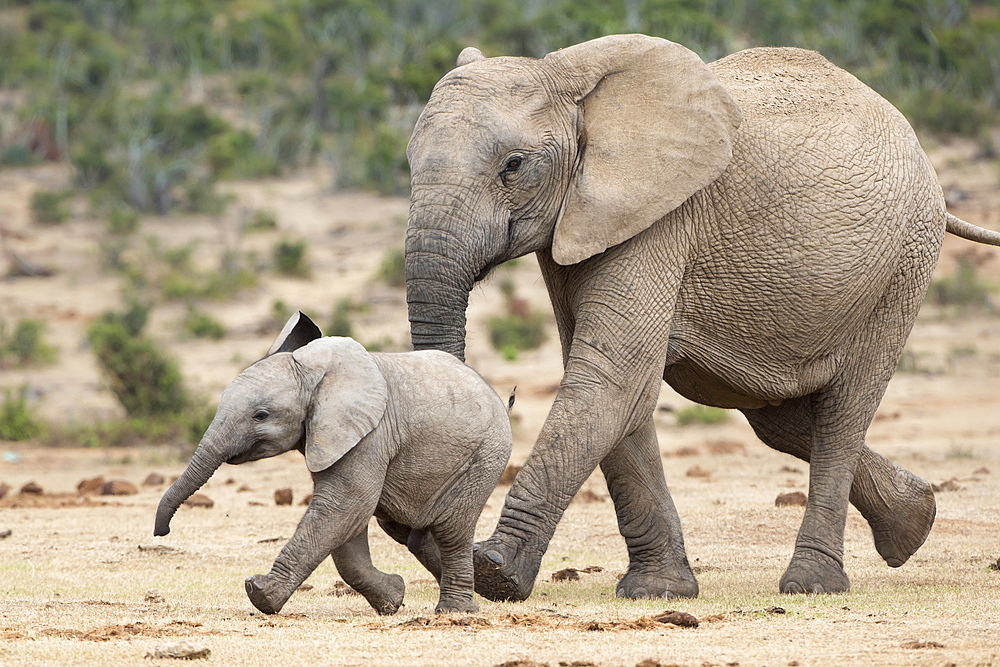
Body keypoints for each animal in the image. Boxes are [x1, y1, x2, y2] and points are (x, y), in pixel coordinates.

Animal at [152, 314, 512, 616]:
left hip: (485, 456)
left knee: (451, 531)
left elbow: (344, 505)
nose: (161, 532)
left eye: (261, 415)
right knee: (413, 533)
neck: (314, 372)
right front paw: (393, 598)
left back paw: (456, 611)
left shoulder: (369, 434)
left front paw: (260, 593)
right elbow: (348, 523)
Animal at [402, 35, 996, 600]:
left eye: (513, 166)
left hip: (903, 265)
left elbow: (613, 379)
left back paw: (814, 583)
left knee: (843, 410)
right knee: (777, 417)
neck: (571, 81)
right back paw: (914, 521)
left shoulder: (661, 218)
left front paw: (495, 573)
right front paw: (658, 590)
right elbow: (619, 388)